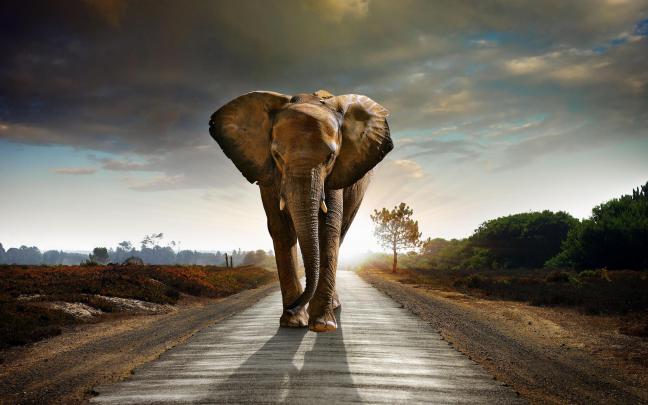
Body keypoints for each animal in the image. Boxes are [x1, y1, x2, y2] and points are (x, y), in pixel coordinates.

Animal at [209, 90, 392, 332]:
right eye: (276, 155)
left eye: (330, 157)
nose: (292, 307)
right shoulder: (268, 174)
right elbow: (281, 228)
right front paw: (293, 322)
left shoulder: (336, 174)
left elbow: (328, 228)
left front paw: (322, 325)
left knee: (341, 233)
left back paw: (332, 308)